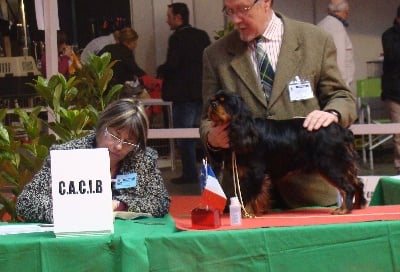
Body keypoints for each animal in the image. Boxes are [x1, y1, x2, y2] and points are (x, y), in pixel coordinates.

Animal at [208, 90, 368, 216]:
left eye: (224, 102)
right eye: (213, 100)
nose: (212, 104)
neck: (244, 127)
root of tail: (341, 130)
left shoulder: (255, 172)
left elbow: (251, 195)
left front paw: (247, 213)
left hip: (330, 165)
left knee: (348, 187)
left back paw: (343, 209)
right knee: (357, 182)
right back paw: (357, 206)